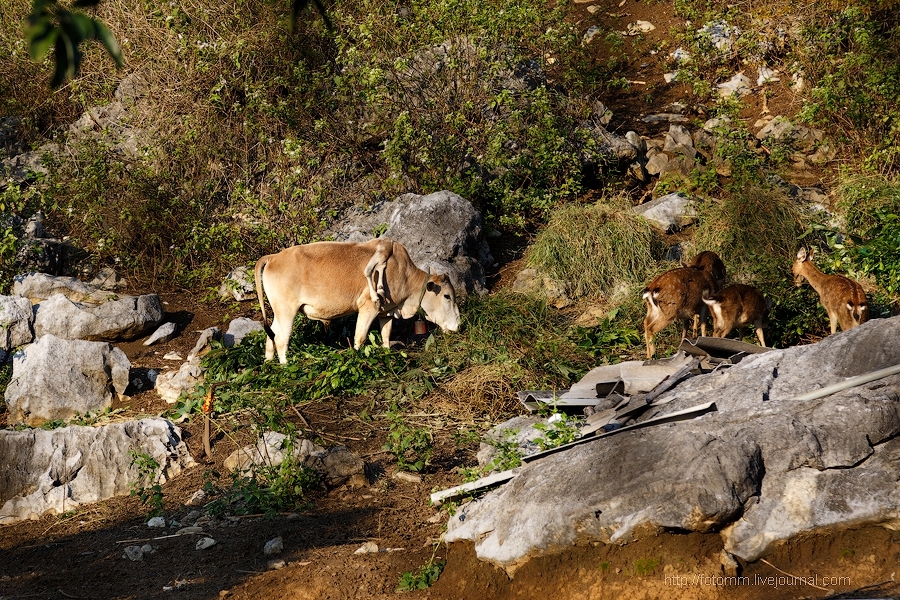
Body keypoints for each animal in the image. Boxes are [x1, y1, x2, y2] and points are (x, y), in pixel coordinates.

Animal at [255, 238, 460, 360]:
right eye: (447, 296)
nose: (458, 325)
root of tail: (274, 256)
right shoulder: (368, 307)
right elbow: (360, 337)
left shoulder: (385, 312)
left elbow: (386, 336)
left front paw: (386, 354)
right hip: (286, 311)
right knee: (281, 339)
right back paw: (286, 366)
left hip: (280, 313)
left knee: (271, 336)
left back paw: (268, 364)